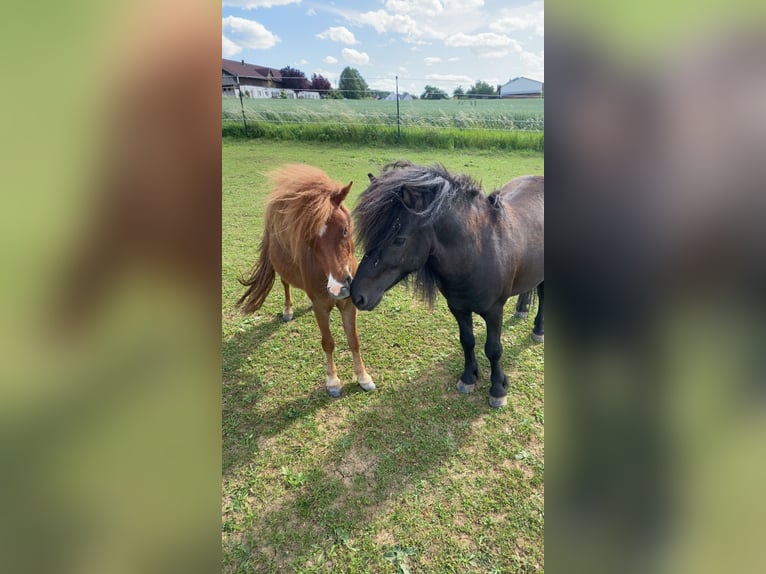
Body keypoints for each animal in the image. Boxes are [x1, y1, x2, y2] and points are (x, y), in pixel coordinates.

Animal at [236, 164, 375, 398]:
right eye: (309, 241)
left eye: (345, 230)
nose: (339, 288)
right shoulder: (321, 306)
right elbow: (328, 343)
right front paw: (333, 381)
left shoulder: (348, 304)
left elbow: (353, 340)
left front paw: (363, 377)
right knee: (285, 285)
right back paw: (288, 311)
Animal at [351, 161, 543, 408]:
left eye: (399, 240)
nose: (357, 295)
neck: (478, 252)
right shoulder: (458, 308)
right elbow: (467, 341)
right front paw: (468, 378)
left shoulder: (494, 312)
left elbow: (493, 350)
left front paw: (498, 389)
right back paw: (522, 309)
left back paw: (538, 330)